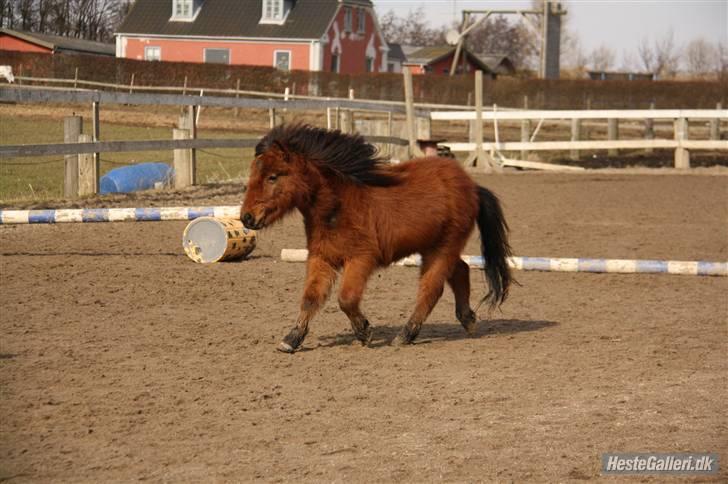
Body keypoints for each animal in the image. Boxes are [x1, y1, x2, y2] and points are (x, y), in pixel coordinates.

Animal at [242, 124, 512, 353]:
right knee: (461, 271)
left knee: (431, 290)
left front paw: (364, 332)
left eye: (273, 176)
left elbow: (346, 299)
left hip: (442, 249)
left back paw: (406, 335)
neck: (338, 207)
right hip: (435, 248)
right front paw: (292, 339)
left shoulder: (361, 259)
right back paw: (468, 320)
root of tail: (472, 186)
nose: (246, 218)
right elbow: (310, 298)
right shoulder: (323, 258)